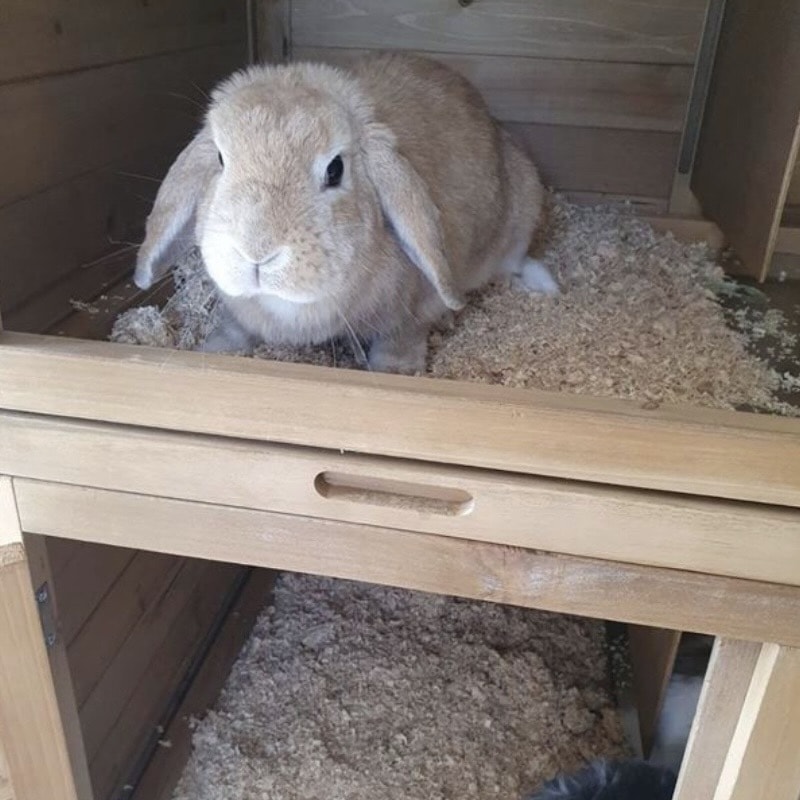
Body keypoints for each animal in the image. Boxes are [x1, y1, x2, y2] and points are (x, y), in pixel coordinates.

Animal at [133, 51, 556, 374]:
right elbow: (235, 328)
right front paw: (214, 349)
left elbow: (403, 334)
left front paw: (396, 370)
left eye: (335, 169)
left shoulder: (417, 310)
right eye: (221, 159)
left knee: (516, 262)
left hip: (521, 216)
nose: (256, 254)